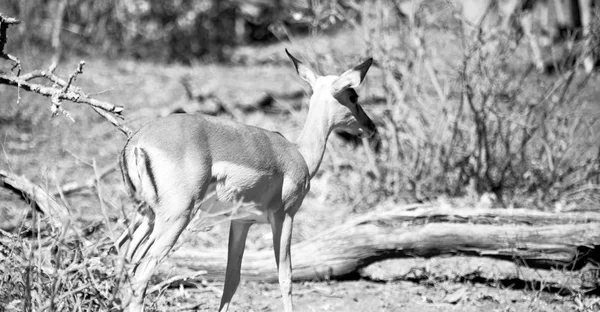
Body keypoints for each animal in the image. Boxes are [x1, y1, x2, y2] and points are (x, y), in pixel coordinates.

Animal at [115, 50, 376, 310]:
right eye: (353, 96)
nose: (370, 126)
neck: (299, 153)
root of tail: (137, 142)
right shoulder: (284, 216)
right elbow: (285, 276)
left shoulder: (241, 222)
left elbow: (232, 278)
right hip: (175, 218)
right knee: (141, 273)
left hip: (146, 216)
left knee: (123, 257)